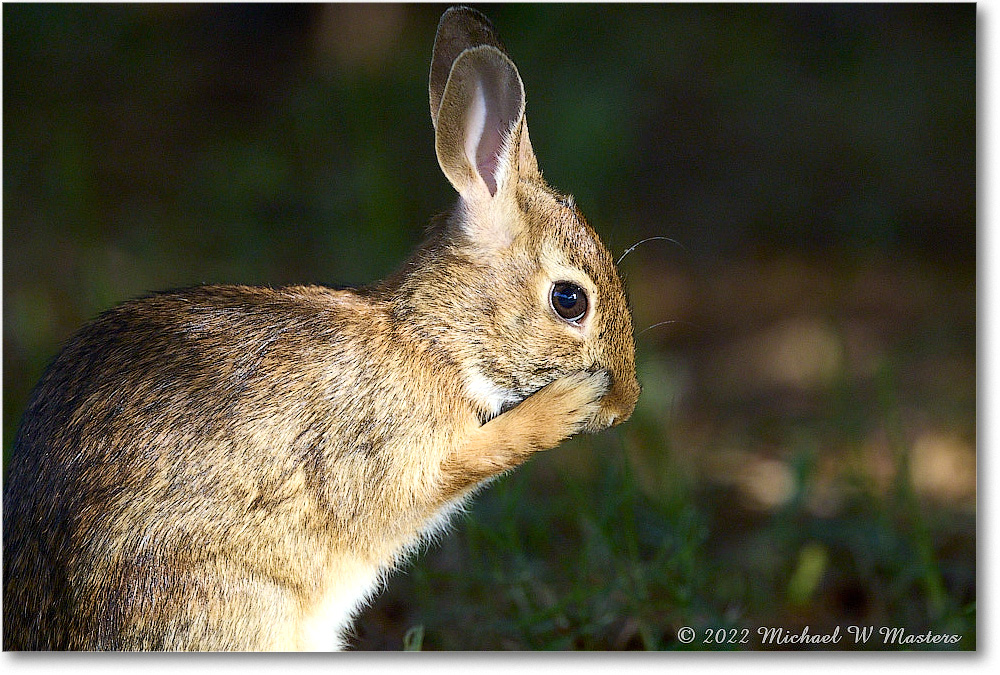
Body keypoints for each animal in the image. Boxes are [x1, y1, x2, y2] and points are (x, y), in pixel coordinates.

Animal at [1, 3, 640, 648]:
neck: (433, 340)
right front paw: (565, 405)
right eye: (569, 300)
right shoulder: (392, 456)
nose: (625, 405)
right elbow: (476, 457)